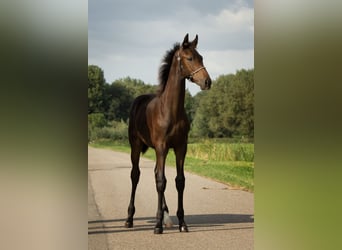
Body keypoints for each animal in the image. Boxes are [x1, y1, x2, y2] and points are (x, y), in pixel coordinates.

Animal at [125, 33, 211, 234]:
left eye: (201, 57)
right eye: (189, 58)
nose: (207, 82)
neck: (171, 111)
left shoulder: (181, 147)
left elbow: (179, 181)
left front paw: (182, 223)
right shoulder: (162, 147)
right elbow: (161, 181)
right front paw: (157, 225)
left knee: (156, 173)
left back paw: (166, 217)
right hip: (136, 146)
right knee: (136, 175)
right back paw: (130, 218)